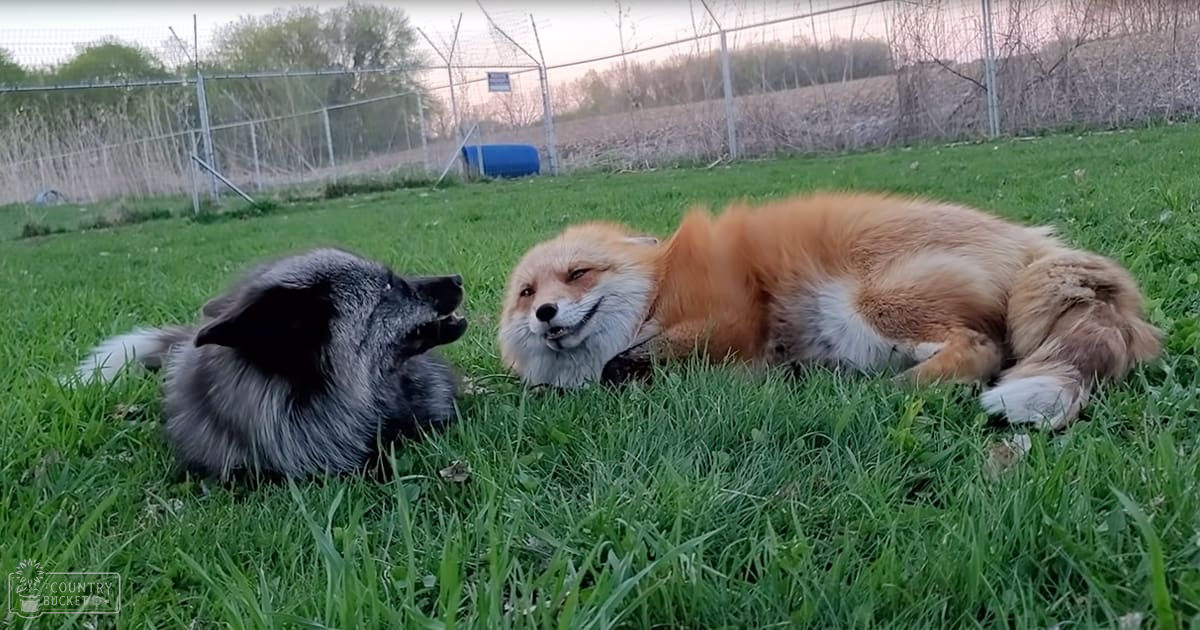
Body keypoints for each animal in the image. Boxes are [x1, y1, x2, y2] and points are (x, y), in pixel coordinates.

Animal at [498, 191, 1162, 430]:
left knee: (982, 351)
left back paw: (883, 389)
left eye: (578, 274)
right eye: (527, 292)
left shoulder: (730, 314)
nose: (546, 314)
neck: (655, 292)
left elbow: (626, 365)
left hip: (871, 303)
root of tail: (1034, 242)